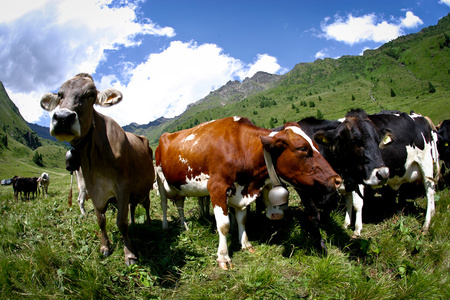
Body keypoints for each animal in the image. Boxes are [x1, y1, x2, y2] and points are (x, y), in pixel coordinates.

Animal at [40, 73, 156, 264]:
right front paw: (104, 246)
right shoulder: (93, 188)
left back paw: (148, 222)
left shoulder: (123, 186)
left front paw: (129, 254)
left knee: (145, 205)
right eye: (60, 94)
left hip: (145, 187)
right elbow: (101, 220)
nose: (63, 118)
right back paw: (134, 223)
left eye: (91, 94)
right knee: (132, 207)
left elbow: (121, 222)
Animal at [156, 115, 342, 270]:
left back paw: (184, 226)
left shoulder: (241, 192)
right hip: (159, 179)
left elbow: (242, 219)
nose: (337, 180)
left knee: (179, 204)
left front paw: (245, 244)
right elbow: (223, 225)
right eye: (303, 148)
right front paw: (223, 257)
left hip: (178, 187)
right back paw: (165, 227)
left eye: (317, 146)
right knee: (164, 204)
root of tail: (165, 136)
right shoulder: (217, 188)